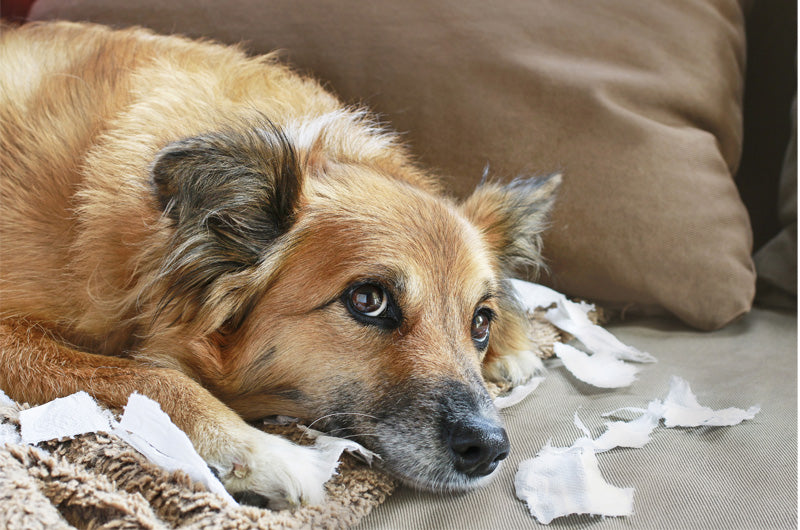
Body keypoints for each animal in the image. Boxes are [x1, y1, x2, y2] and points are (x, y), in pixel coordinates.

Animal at [0, 21, 560, 508]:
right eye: (368, 300)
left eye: (480, 321)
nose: (489, 449)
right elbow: (147, 376)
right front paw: (259, 451)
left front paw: (514, 349)